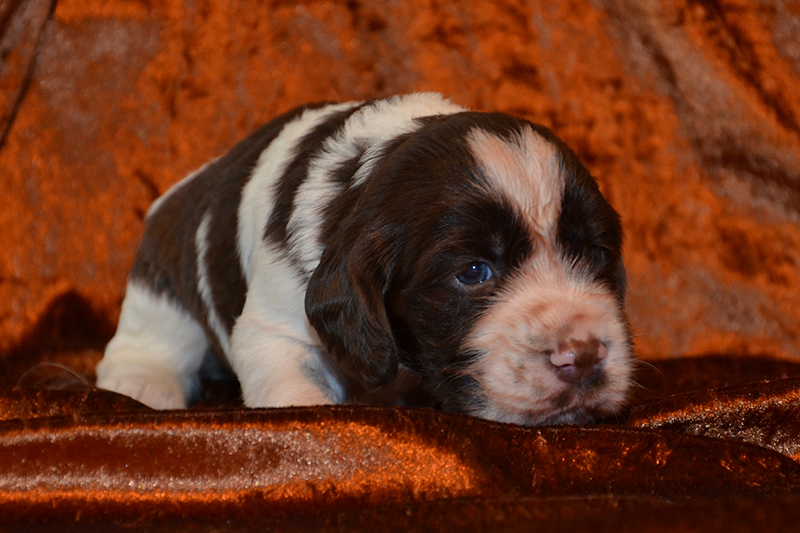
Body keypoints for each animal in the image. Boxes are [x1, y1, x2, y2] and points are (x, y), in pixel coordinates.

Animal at [95, 93, 632, 426]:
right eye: (473, 272)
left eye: (595, 255)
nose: (583, 355)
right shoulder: (278, 326)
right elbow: (296, 391)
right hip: (162, 279)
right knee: (154, 335)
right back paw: (142, 382)